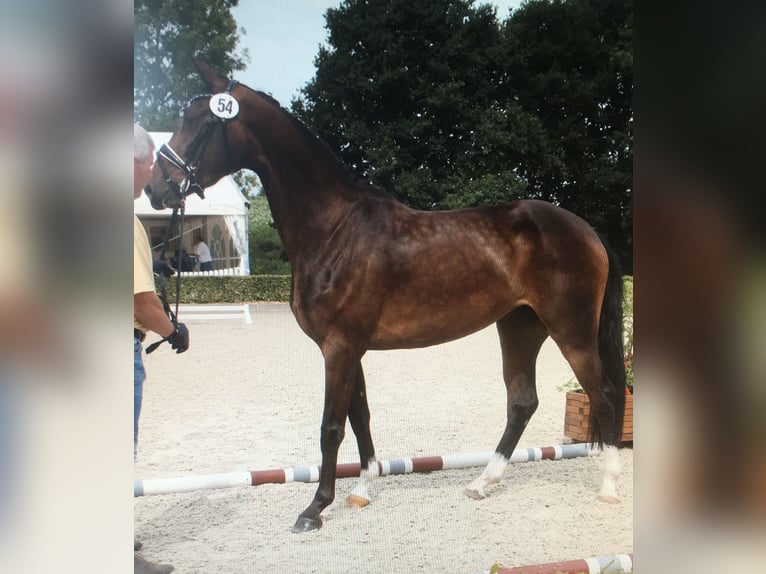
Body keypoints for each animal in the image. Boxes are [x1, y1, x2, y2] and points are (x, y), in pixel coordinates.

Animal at [145, 62, 626, 533]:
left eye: (197, 121)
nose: (155, 189)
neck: (335, 228)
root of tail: (587, 229)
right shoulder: (347, 347)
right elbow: (360, 417)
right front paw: (361, 488)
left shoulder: (339, 347)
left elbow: (331, 426)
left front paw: (315, 508)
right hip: (520, 326)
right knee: (522, 401)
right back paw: (481, 483)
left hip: (570, 331)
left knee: (603, 393)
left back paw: (609, 486)